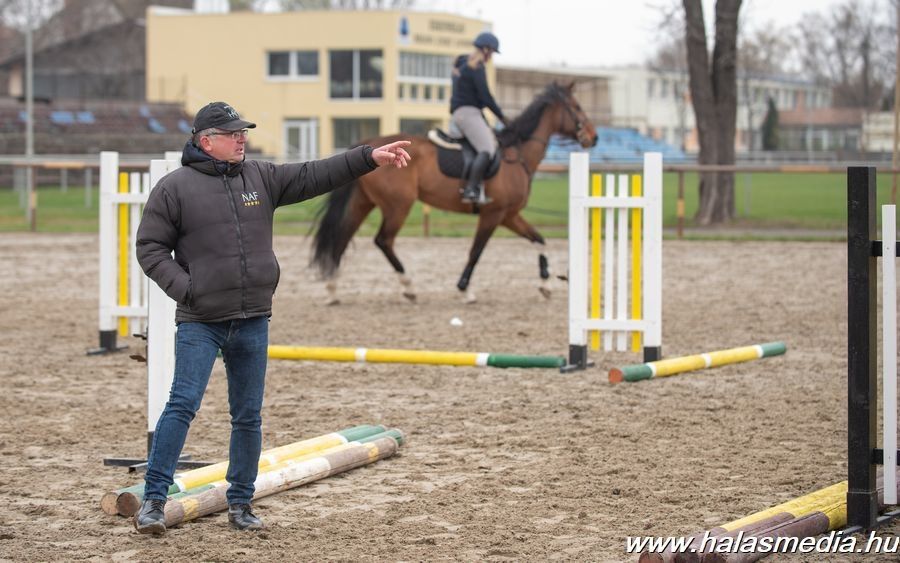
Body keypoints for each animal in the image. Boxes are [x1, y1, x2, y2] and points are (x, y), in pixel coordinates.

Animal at [310, 81, 596, 304]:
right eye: (577, 107)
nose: (594, 137)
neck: (517, 155)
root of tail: (368, 145)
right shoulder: (493, 214)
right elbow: (476, 251)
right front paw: (464, 290)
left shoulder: (509, 215)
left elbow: (539, 240)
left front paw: (546, 284)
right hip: (398, 206)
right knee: (383, 240)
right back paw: (408, 287)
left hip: (363, 203)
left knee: (342, 236)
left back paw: (332, 289)